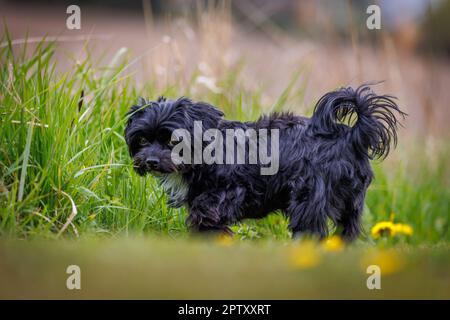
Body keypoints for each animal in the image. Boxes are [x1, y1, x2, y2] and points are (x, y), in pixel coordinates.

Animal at [124, 84, 404, 240]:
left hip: (309, 198)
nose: (150, 160)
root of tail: (352, 136)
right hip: (351, 203)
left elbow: (205, 215)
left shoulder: (228, 192)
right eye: (143, 139)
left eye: (173, 141)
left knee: (311, 231)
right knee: (348, 231)